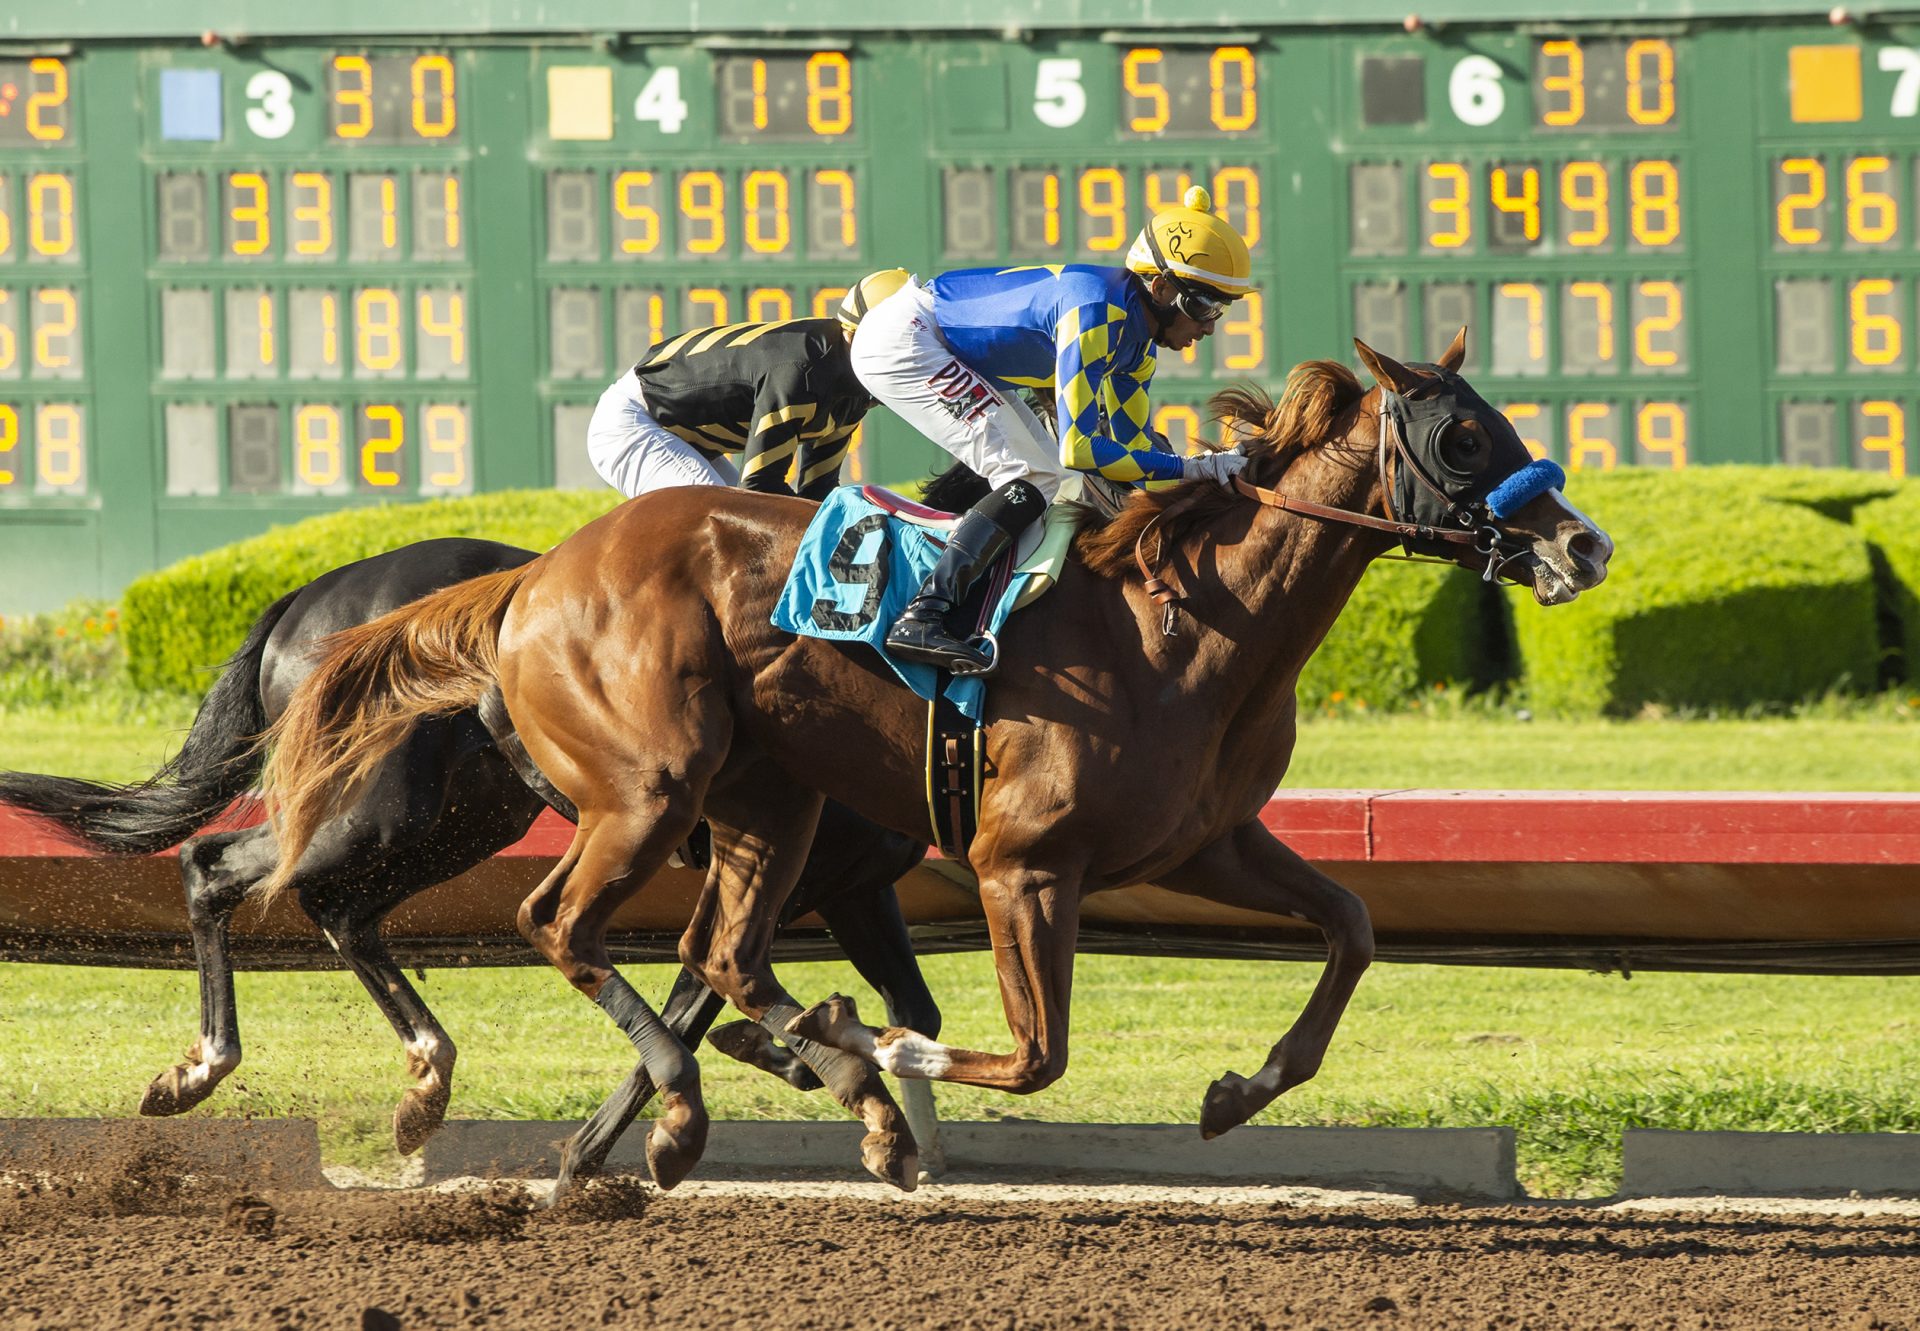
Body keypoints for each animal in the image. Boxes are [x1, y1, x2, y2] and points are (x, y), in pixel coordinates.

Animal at [0, 533, 936, 1175]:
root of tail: (303, 597)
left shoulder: (856, 888)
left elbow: (909, 1012)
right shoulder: (776, 880)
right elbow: (693, 1012)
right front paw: (598, 1154)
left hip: (463, 818)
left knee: (342, 910)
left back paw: (425, 1079)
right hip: (381, 809)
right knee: (219, 866)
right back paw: (200, 1068)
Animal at [251, 338, 1605, 1190]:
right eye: (1461, 434)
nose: (1581, 545)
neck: (1185, 623)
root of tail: (537, 574)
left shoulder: (1206, 842)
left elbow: (1353, 926)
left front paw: (1241, 1087)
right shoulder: (1022, 863)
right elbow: (1035, 1050)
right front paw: (884, 1054)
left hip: (769, 799)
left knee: (719, 951)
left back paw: (792, 1081)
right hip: (643, 790)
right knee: (551, 920)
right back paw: (679, 1103)